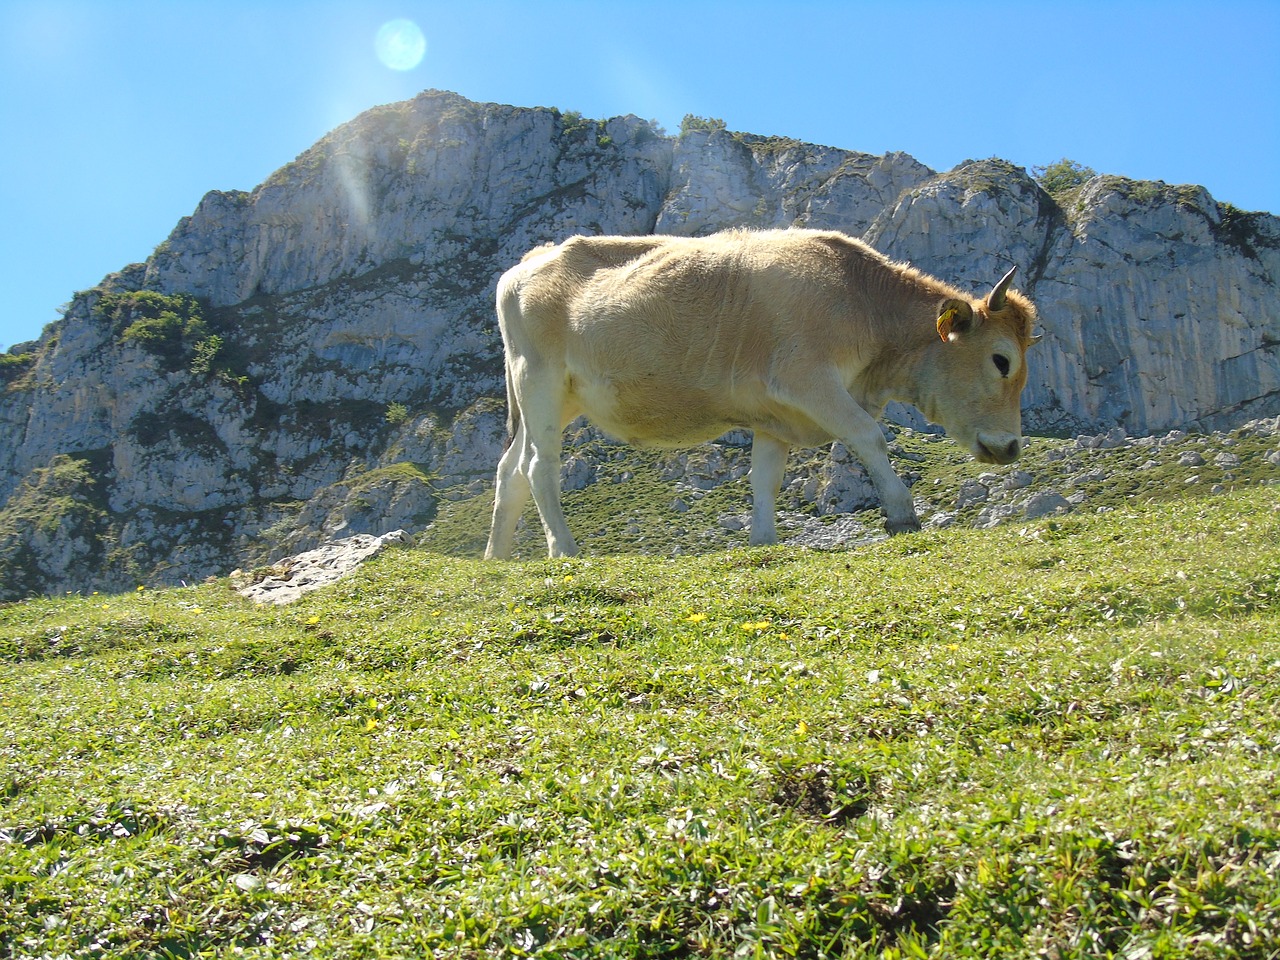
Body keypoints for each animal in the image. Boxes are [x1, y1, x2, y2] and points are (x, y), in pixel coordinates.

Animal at [483, 229, 1034, 560]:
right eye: (1001, 360)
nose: (1011, 447)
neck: (861, 302)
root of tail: (531, 259)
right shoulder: (809, 380)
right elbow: (867, 436)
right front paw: (902, 514)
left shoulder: (775, 416)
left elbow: (765, 480)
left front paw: (762, 542)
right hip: (540, 381)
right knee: (539, 466)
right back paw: (564, 549)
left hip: (556, 398)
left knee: (509, 471)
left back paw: (496, 558)